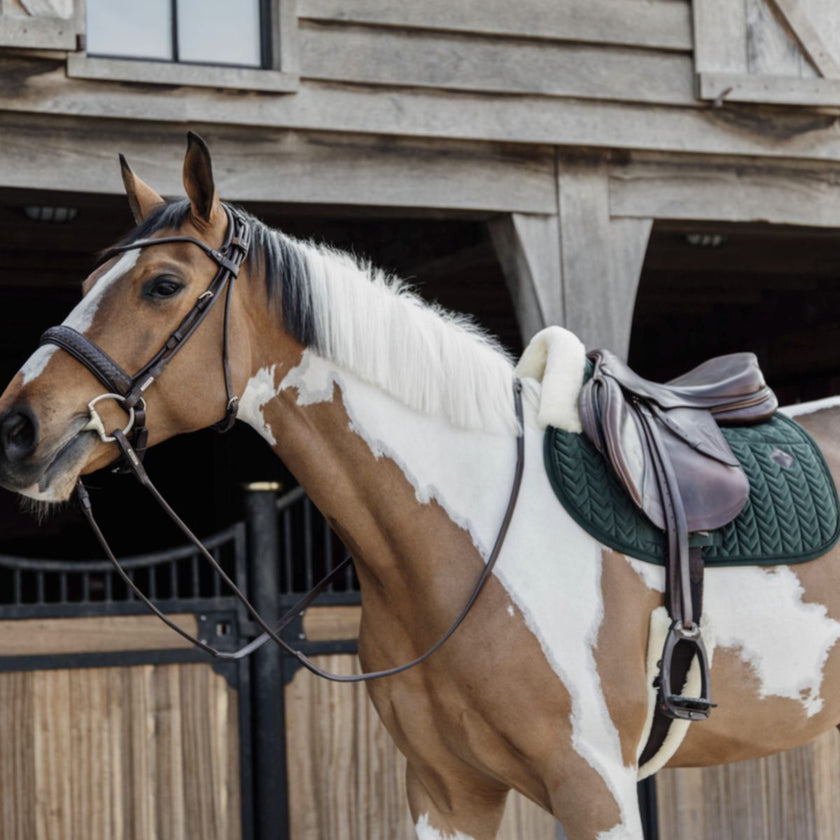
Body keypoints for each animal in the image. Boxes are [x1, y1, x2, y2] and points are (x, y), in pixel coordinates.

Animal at [0, 135, 836, 836]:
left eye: (163, 284)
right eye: (87, 280)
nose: (17, 426)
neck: (472, 539)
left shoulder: (595, 792)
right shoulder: (446, 791)